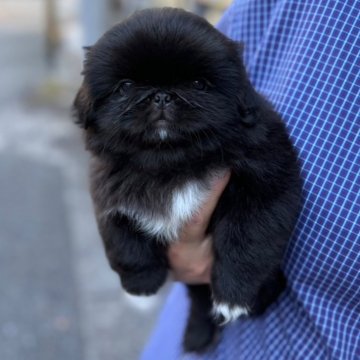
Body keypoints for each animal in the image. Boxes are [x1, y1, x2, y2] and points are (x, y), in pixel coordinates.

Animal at [74, 7, 302, 352]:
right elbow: (122, 239)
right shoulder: (108, 190)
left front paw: (233, 298)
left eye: (198, 84)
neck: (172, 163)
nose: (161, 95)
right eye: (125, 86)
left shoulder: (267, 186)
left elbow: (247, 242)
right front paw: (141, 284)